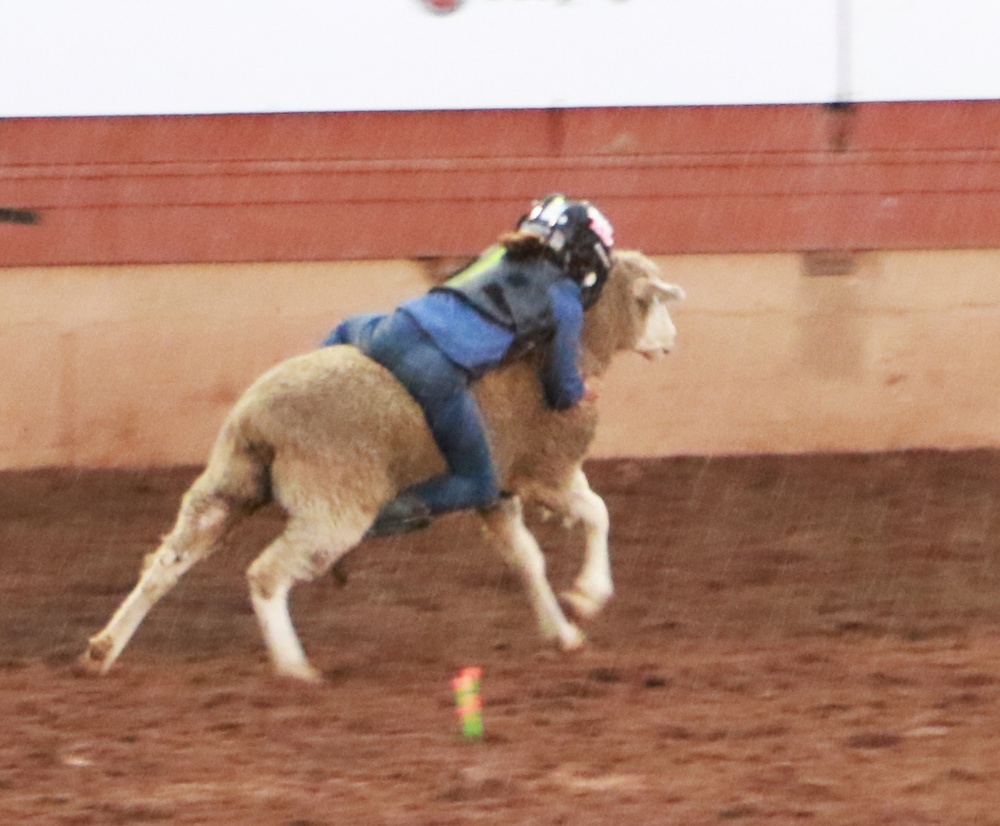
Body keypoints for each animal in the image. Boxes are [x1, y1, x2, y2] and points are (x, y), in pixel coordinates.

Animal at [82, 248, 684, 680]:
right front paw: (589, 595)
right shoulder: (544, 471)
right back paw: (295, 669)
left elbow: (528, 562)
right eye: (649, 301)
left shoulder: (496, 490)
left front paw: (563, 633)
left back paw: (104, 649)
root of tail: (257, 419)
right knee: (266, 576)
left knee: (168, 561)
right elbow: (599, 513)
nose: (673, 343)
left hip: (229, 482)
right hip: (334, 505)